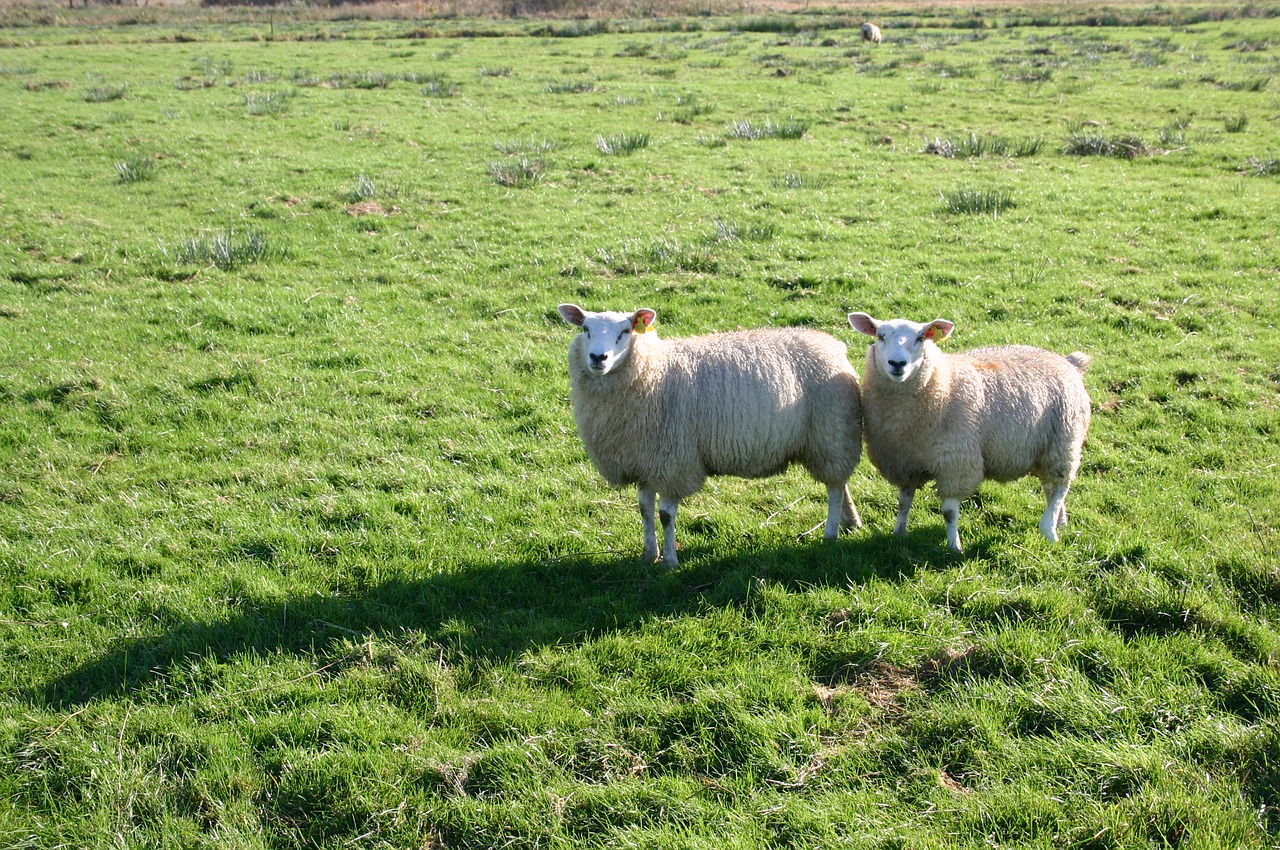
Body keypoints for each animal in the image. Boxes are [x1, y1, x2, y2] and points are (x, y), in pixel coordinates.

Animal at [558, 302, 865, 568]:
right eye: (585, 329)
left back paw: (830, 533)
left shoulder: (673, 462)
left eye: (625, 331)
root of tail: (831, 344)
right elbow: (645, 509)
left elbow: (665, 515)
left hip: (831, 434)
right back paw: (850, 521)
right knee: (841, 484)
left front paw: (670, 562)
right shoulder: (645, 460)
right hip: (832, 437)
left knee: (834, 488)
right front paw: (648, 555)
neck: (654, 372)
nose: (598, 358)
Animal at [844, 312, 1095, 550]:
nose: (897, 363)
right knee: (1050, 487)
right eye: (880, 336)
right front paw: (898, 534)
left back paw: (1049, 529)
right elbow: (904, 502)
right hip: (1045, 447)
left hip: (1065, 439)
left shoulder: (956, 462)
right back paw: (1061, 522)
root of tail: (1067, 361)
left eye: (921, 337)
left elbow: (949, 513)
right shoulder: (905, 462)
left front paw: (954, 546)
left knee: (1061, 485)